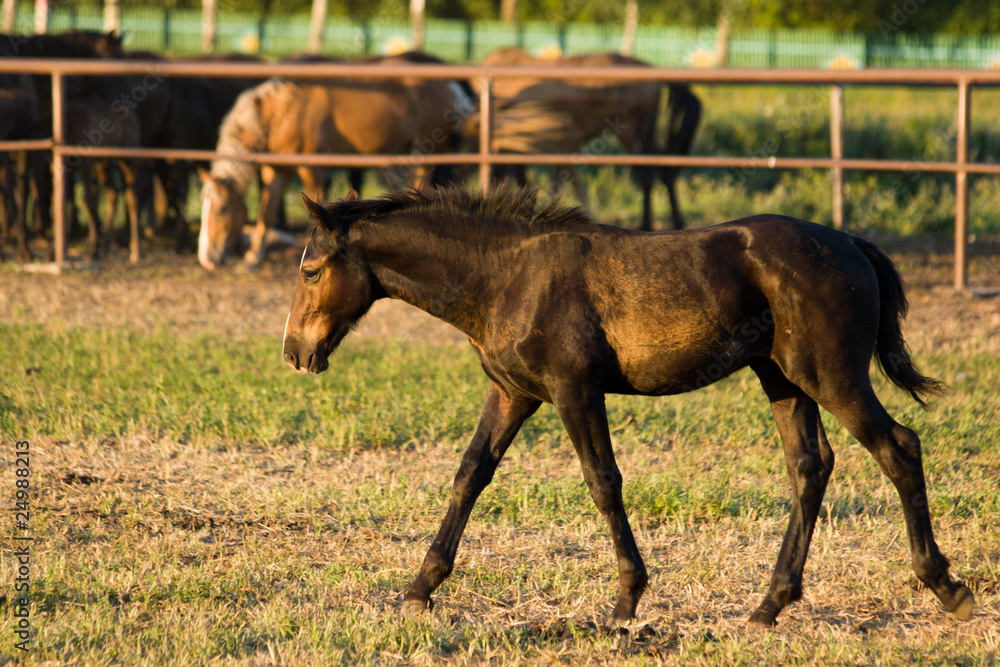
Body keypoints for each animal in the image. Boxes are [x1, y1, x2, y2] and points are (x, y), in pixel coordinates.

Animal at [198, 54, 472, 271]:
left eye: (221, 209)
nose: (207, 259)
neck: (281, 112)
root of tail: (450, 86)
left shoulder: (310, 167)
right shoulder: (275, 171)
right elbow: (267, 213)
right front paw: (254, 258)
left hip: (425, 149)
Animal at [281, 184, 974, 627]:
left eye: (311, 271)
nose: (295, 352)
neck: (507, 277)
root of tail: (852, 244)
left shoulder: (573, 390)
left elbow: (603, 481)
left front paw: (625, 602)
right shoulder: (513, 392)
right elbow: (470, 475)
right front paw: (418, 591)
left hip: (830, 376)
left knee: (898, 447)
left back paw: (947, 587)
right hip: (782, 379)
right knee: (811, 466)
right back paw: (767, 607)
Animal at [467, 47, 700, 231]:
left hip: (629, 133)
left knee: (646, 176)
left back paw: (647, 225)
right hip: (646, 132)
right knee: (665, 170)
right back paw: (676, 223)